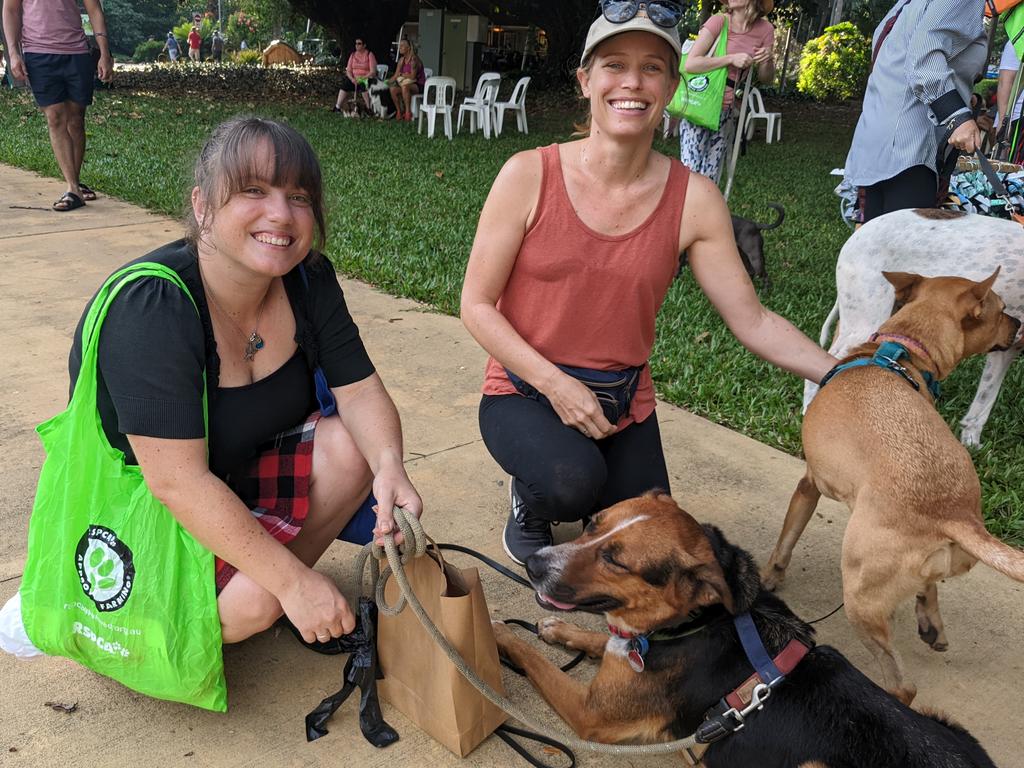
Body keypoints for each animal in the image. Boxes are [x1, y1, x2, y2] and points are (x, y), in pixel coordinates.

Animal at [491, 495, 995, 765]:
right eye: (593, 524)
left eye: (615, 560)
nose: (534, 564)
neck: (694, 621)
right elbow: (601, 639)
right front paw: (559, 630)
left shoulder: (589, 715)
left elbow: (530, 655)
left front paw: (494, 630)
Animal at [765, 270, 1019, 704]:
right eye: (1002, 310)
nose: (1018, 324)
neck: (900, 350)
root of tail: (954, 513)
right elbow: (929, 587)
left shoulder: (808, 484)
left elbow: (785, 541)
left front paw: (770, 580)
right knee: (929, 588)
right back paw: (931, 623)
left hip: (859, 598)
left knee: (903, 686)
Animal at [806, 210, 1024, 448]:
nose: (1018, 324)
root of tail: (862, 229)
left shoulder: (1007, 348)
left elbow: (984, 400)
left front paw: (971, 443)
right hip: (865, 320)